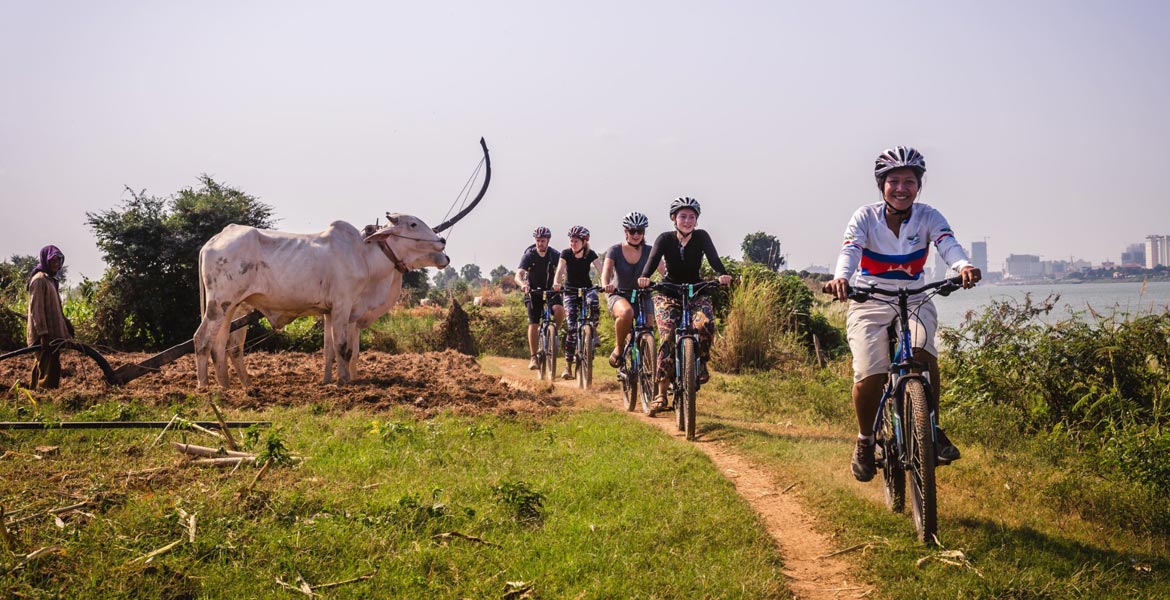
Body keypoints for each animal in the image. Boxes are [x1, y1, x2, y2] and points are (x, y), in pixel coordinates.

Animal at [191, 215, 446, 388]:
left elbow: (329, 349)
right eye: (413, 224)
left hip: (232, 307)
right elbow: (343, 348)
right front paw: (345, 382)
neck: (364, 256)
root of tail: (213, 241)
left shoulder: (329, 312)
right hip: (219, 304)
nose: (442, 240)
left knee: (223, 347)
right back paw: (206, 388)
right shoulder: (343, 306)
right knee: (202, 340)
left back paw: (233, 387)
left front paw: (326, 382)